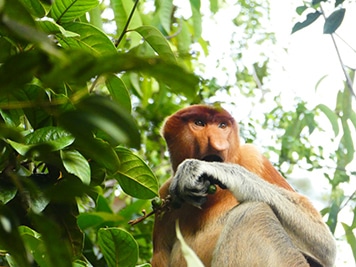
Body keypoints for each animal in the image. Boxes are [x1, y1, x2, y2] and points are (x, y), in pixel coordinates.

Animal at [152, 105, 336, 267]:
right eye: (199, 123)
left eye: (222, 125)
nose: (219, 144)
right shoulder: (164, 194)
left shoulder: (253, 157)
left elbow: (325, 245)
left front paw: (207, 168)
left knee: (252, 212)